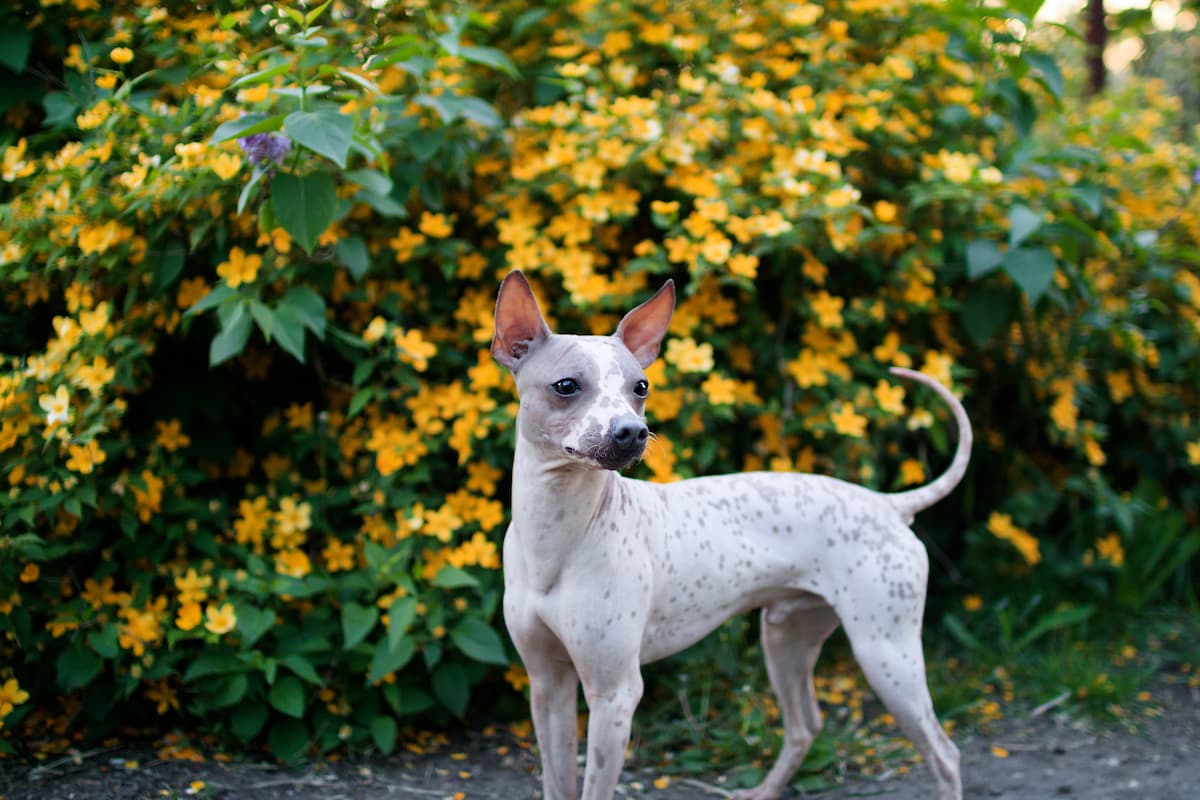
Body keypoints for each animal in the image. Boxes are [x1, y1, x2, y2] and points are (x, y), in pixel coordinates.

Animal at [487, 272, 964, 796]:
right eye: (566, 386)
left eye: (641, 386)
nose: (632, 432)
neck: (556, 539)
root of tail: (888, 505)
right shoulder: (547, 686)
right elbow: (558, 783)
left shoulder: (614, 695)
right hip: (786, 638)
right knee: (805, 726)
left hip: (886, 655)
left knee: (944, 753)